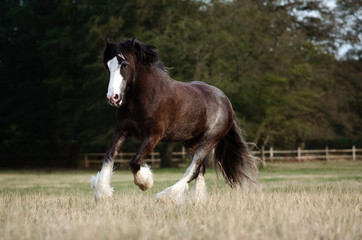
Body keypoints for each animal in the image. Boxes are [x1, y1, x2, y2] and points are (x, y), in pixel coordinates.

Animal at [92, 38, 258, 202]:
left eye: (125, 64)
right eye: (107, 65)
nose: (113, 98)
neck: (144, 97)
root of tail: (226, 100)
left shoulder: (153, 136)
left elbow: (134, 162)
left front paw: (145, 183)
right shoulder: (122, 131)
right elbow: (109, 156)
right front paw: (101, 192)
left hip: (209, 139)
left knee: (193, 168)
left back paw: (166, 196)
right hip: (191, 141)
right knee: (200, 170)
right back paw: (195, 199)